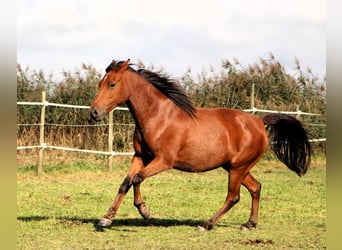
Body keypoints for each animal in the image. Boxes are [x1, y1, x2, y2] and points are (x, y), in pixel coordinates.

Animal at [89, 59, 312, 231]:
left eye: (112, 84)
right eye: (101, 83)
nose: (94, 113)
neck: (158, 116)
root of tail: (259, 121)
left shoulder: (164, 161)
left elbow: (137, 179)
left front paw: (145, 211)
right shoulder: (140, 156)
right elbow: (125, 183)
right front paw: (106, 219)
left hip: (238, 168)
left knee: (233, 196)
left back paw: (207, 224)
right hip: (235, 166)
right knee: (255, 188)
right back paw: (249, 224)